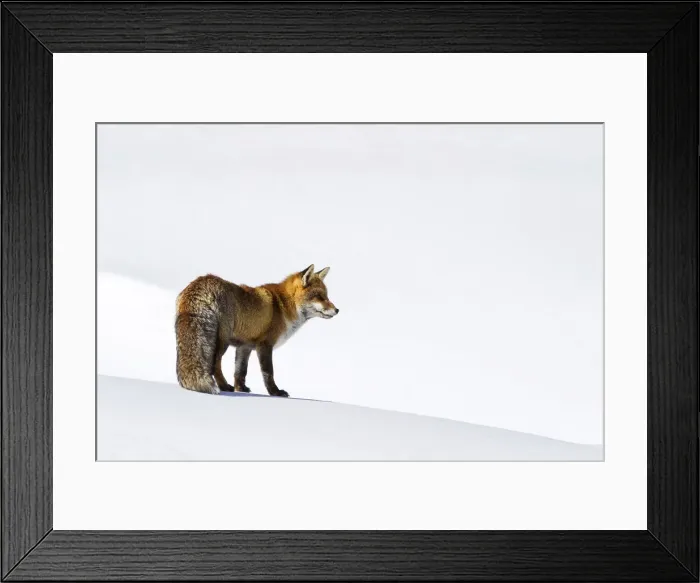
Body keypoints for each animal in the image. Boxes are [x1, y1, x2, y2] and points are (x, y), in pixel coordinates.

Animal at [175, 264, 338, 397]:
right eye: (319, 297)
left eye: (327, 296)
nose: (337, 310)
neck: (284, 306)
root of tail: (200, 282)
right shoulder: (265, 345)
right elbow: (268, 372)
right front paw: (275, 392)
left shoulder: (244, 346)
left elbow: (240, 371)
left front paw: (240, 389)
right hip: (222, 341)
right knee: (215, 364)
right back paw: (224, 386)